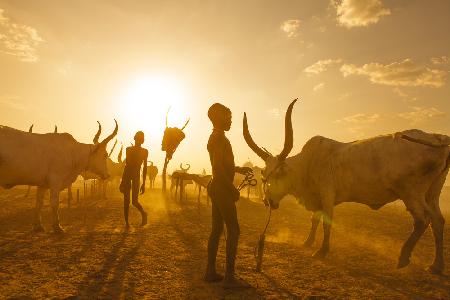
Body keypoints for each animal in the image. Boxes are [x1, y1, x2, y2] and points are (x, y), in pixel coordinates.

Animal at [244, 99, 450, 274]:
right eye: (263, 174)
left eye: (279, 173)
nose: (268, 201)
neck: (308, 163)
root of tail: (438, 138)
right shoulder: (318, 198)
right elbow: (314, 219)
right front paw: (308, 242)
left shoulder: (327, 195)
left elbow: (326, 222)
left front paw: (322, 251)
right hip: (432, 193)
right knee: (438, 221)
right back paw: (436, 266)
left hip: (411, 193)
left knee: (423, 219)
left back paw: (403, 258)